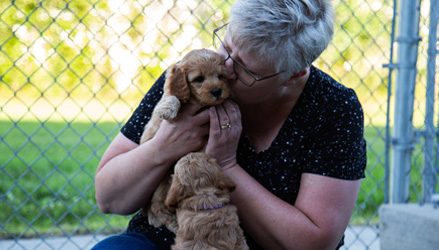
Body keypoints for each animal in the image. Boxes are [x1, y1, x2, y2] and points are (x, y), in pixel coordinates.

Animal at [141, 48, 232, 232]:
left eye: (220, 76)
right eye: (199, 79)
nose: (217, 91)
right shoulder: (169, 94)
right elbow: (171, 97)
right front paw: (168, 109)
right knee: (158, 207)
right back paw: (172, 223)